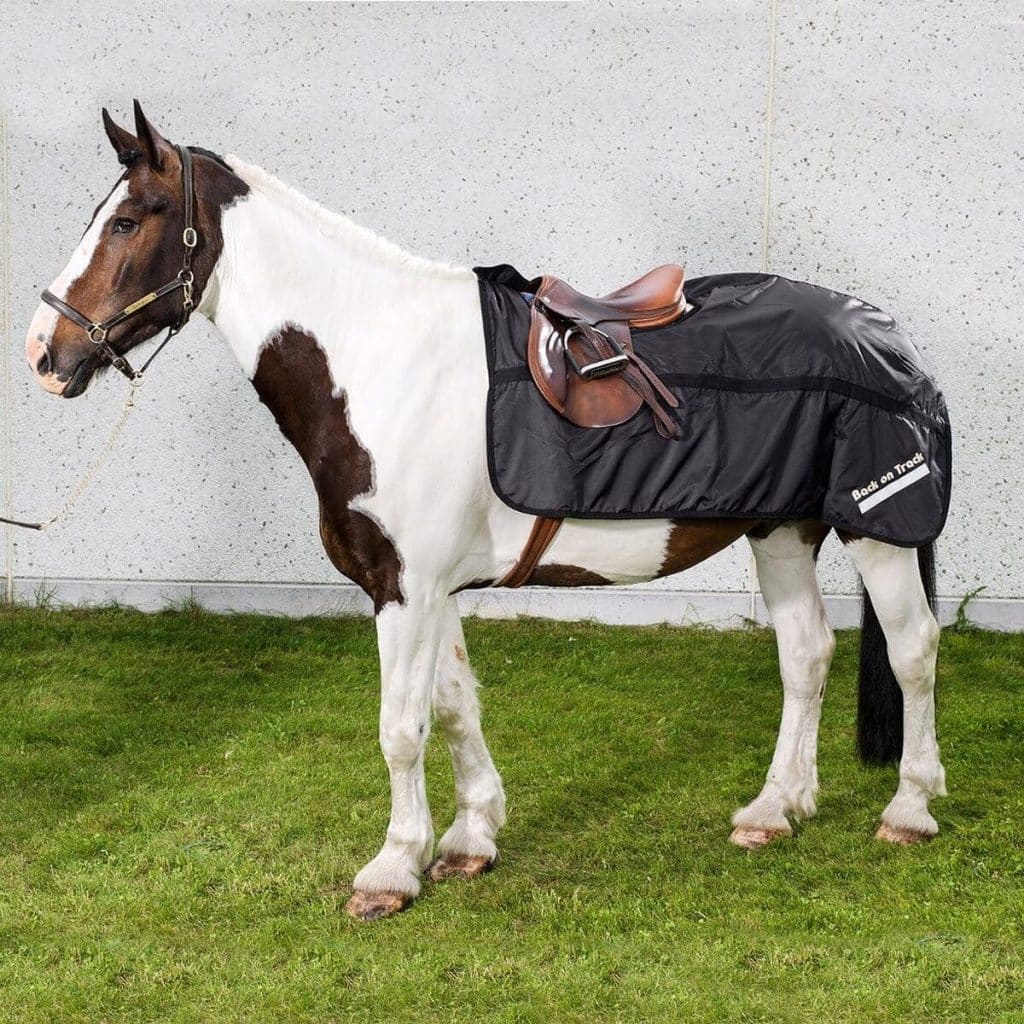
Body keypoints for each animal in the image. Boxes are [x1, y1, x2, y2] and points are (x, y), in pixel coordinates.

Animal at [25, 103, 947, 921]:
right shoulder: (421, 586)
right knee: (807, 654)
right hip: (780, 529)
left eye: (127, 222)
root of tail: (890, 336)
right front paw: (470, 838)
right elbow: (453, 706)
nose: (44, 351)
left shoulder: (406, 589)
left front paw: (393, 869)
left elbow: (401, 727)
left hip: (875, 533)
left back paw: (909, 809)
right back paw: (775, 810)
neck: (380, 362)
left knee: (912, 651)